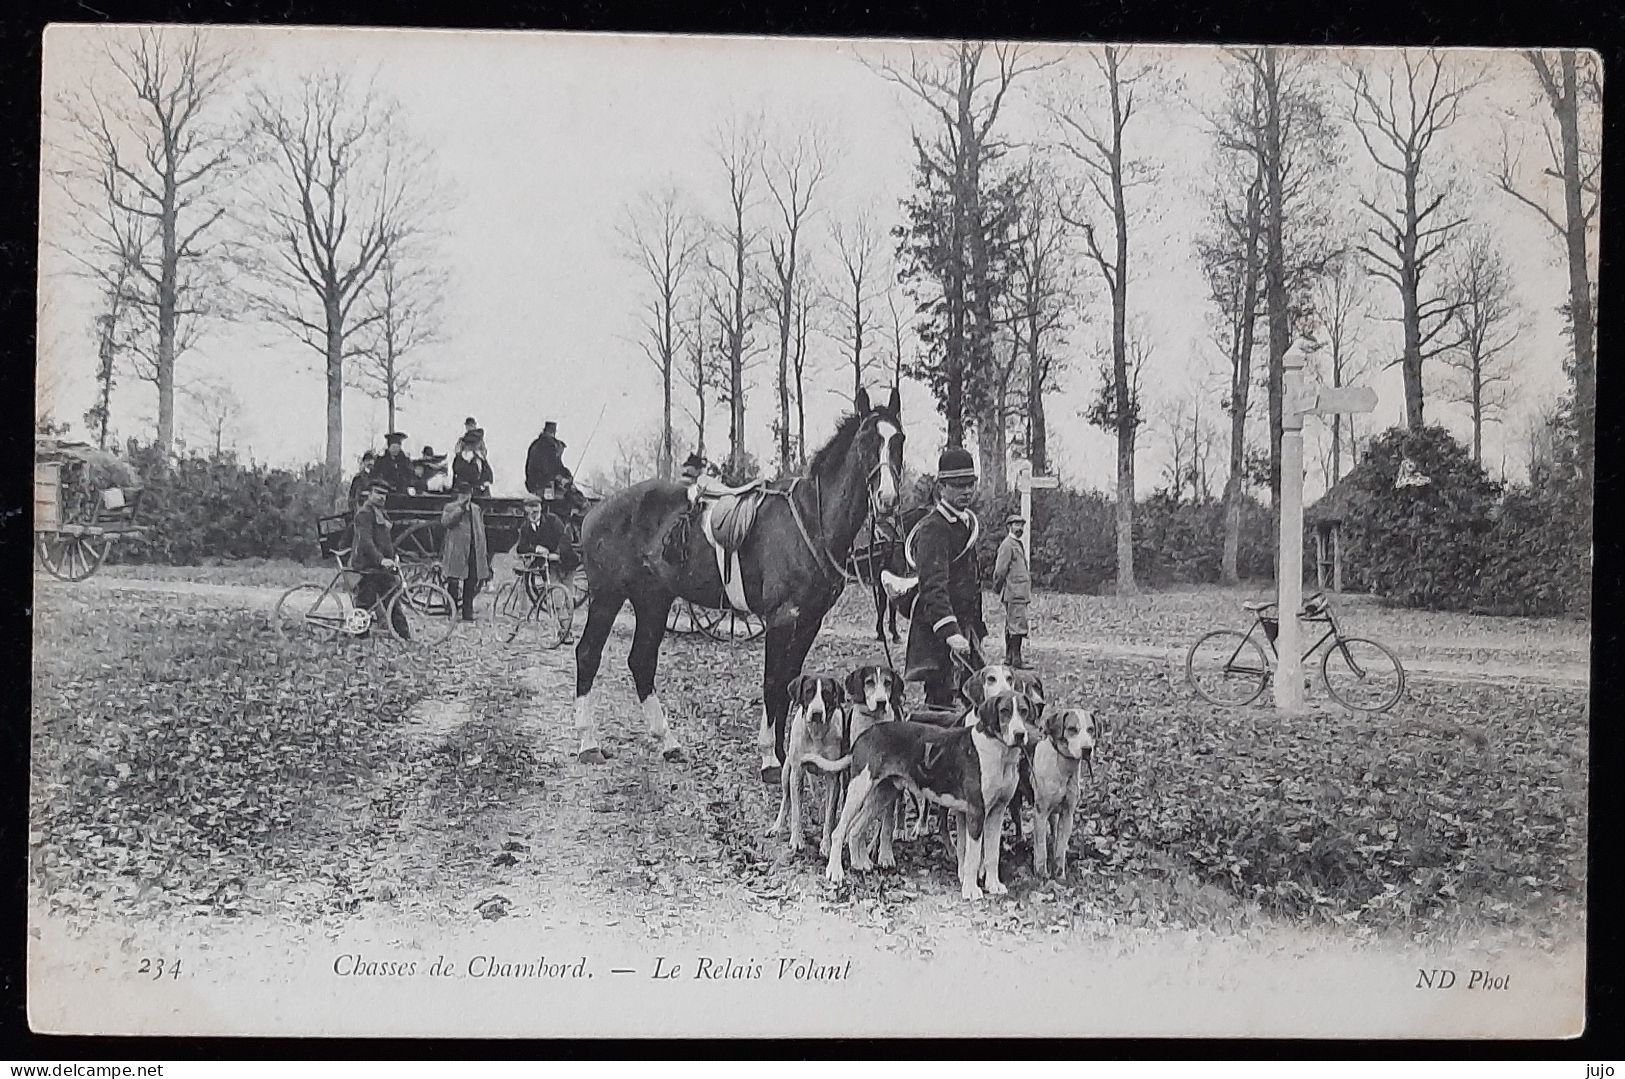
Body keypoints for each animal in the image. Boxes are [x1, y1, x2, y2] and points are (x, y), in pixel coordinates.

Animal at [572, 388, 903, 776]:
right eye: (866, 440)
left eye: (898, 440)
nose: (888, 499)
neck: (811, 520)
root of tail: (596, 509)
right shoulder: (781, 618)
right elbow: (773, 681)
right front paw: (769, 758)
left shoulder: (809, 620)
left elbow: (791, 681)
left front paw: (783, 753)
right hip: (606, 596)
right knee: (588, 654)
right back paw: (589, 742)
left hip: (653, 599)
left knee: (641, 661)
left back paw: (668, 743)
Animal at [767, 669, 851, 858]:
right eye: (809, 692)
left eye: (826, 693)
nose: (817, 713)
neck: (816, 733)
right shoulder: (797, 772)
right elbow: (796, 811)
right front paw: (796, 840)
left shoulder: (833, 777)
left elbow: (830, 815)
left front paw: (826, 845)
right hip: (787, 771)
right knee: (786, 799)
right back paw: (777, 826)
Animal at [819, 692, 1033, 903]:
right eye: (1004, 711)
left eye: (1023, 711)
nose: (1019, 734)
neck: (999, 752)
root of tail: (865, 735)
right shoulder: (976, 812)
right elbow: (972, 857)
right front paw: (971, 890)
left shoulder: (997, 812)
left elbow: (992, 855)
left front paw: (994, 885)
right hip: (859, 789)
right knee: (839, 831)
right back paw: (835, 872)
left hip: (884, 793)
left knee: (856, 829)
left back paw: (859, 863)